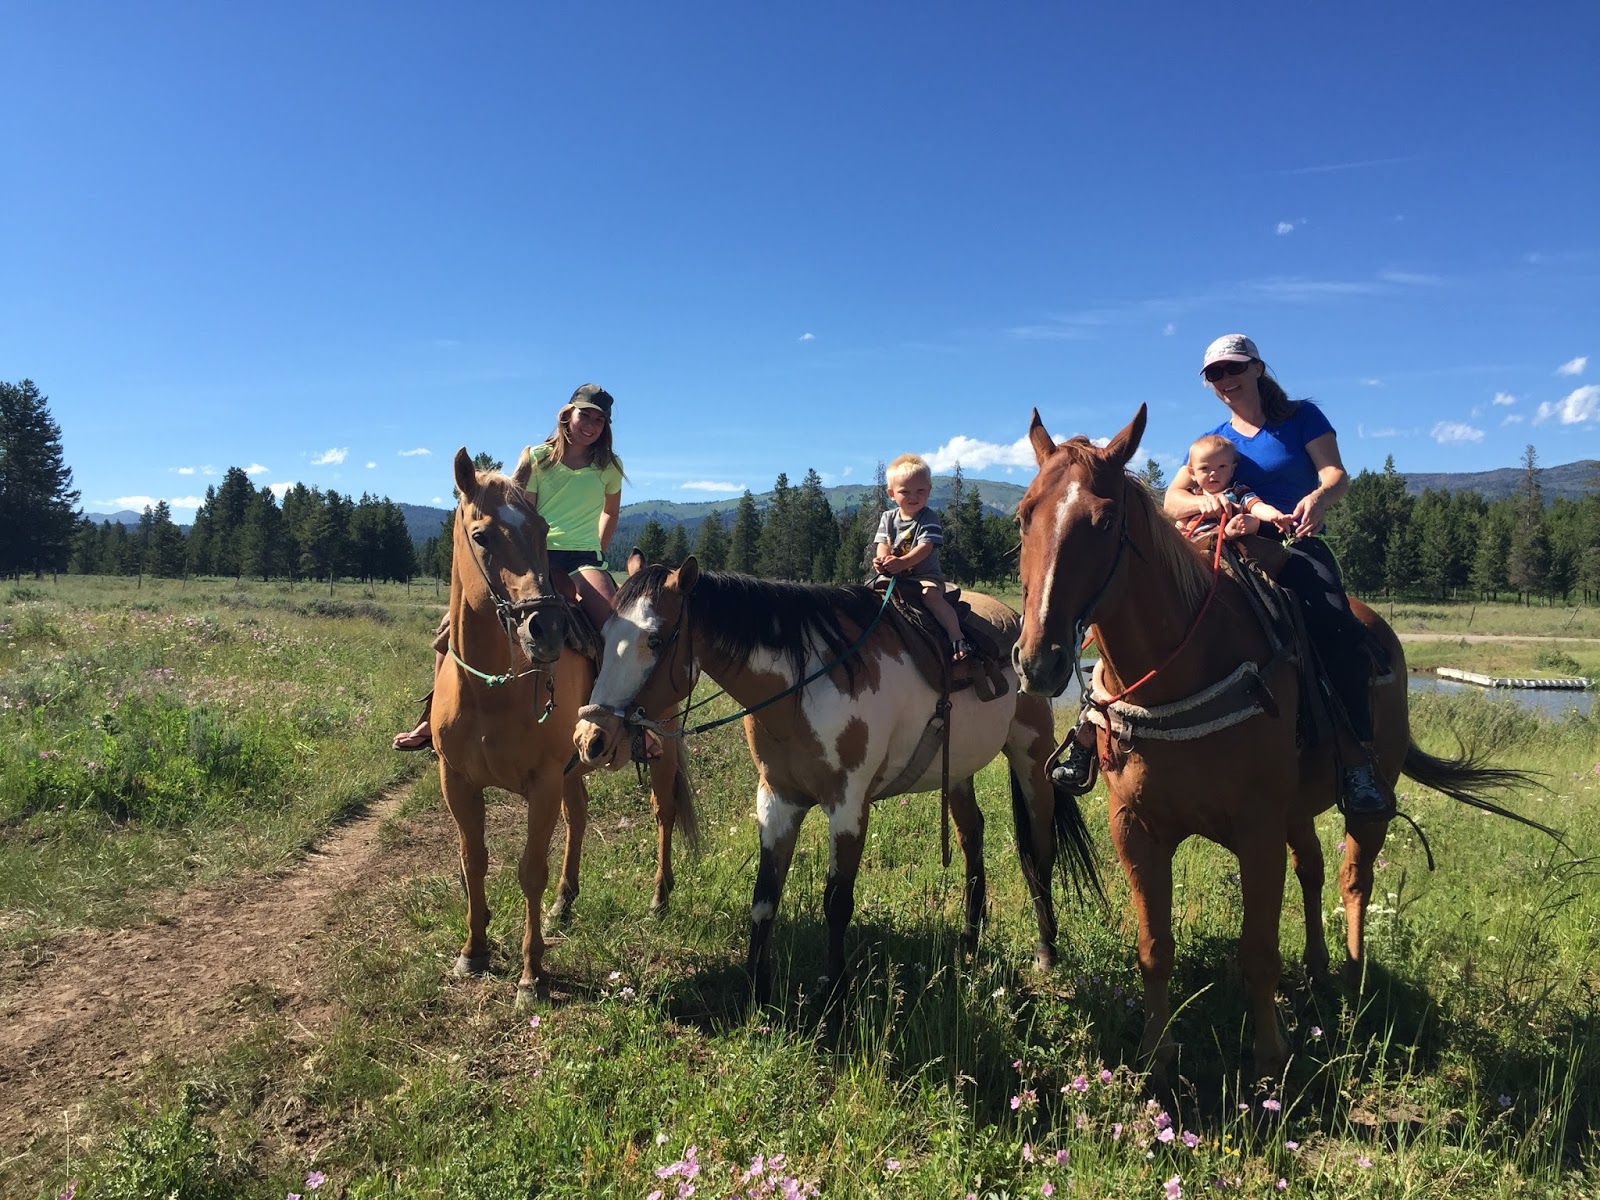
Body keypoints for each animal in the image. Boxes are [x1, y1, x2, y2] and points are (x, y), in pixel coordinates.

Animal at [432, 448, 697, 1006]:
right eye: (481, 535)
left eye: (540, 529)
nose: (547, 629)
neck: (492, 687)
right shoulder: (456, 781)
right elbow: (473, 860)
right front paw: (474, 950)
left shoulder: (543, 782)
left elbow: (530, 870)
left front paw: (532, 975)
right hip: (575, 764)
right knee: (579, 816)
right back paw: (565, 901)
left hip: (659, 742)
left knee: (662, 812)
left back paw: (659, 897)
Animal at [570, 556, 1101, 1007]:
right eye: (603, 631)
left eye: (655, 640)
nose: (591, 738)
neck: (804, 687)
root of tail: (1012, 620)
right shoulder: (777, 801)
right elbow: (764, 899)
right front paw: (756, 991)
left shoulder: (847, 805)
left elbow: (836, 902)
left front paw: (836, 995)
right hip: (959, 771)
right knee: (973, 837)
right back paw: (970, 940)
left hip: (1032, 755)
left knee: (1040, 849)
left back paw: (1046, 950)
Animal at [1010, 405, 1548, 1080]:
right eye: (1023, 514)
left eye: (1104, 521)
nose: (1039, 661)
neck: (1185, 667)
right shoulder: (1134, 826)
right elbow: (1154, 946)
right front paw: (1157, 1053)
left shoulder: (1257, 826)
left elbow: (1259, 950)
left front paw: (1270, 1057)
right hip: (1297, 810)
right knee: (1312, 869)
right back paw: (1316, 969)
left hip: (1368, 801)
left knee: (1352, 878)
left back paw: (1351, 978)